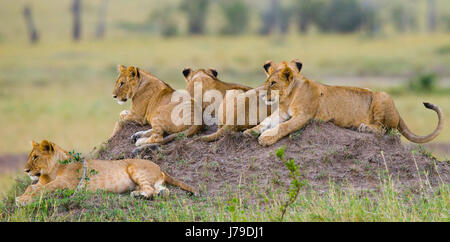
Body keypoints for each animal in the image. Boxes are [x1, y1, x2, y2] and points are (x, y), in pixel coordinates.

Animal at [15, 140, 197, 206]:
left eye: (35, 157)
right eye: (30, 156)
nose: (26, 170)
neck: (49, 172)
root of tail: (160, 168)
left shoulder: (65, 184)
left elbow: (41, 190)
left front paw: (22, 201)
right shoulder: (42, 182)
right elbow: (32, 188)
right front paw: (22, 197)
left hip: (135, 168)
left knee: (150, 190)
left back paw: (139, 195)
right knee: (163, 191)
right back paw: (150, 194)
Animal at [243, 61, 442, 147]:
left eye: (273, 83)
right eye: (267, 81)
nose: (261, 93)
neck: (289, 95)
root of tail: (399, 114)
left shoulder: (304, 115)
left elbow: (284, 127)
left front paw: (266, 138)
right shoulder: (282, 113)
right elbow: (267, 121)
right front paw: (250, 131)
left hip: (382, 96)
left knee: (385, 129)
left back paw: (365, 127)